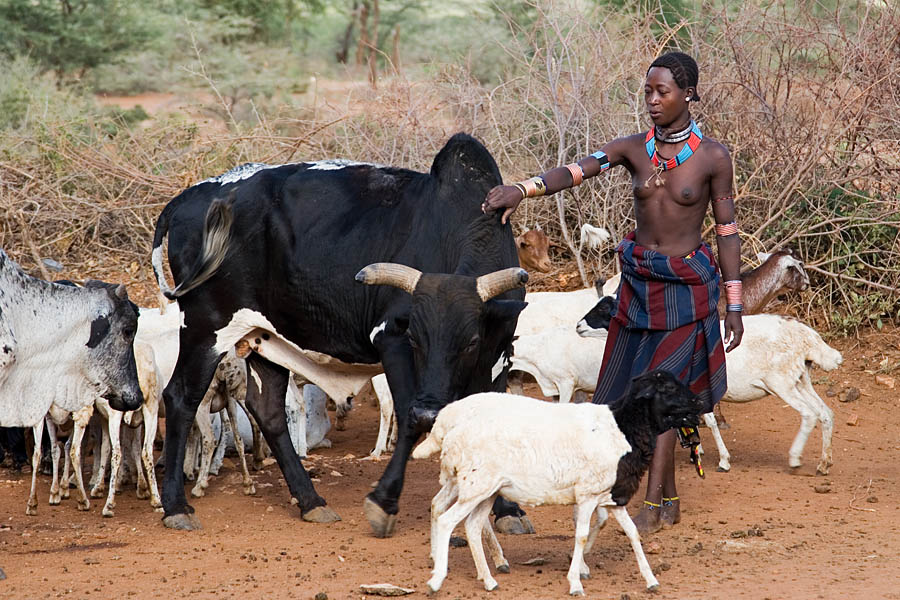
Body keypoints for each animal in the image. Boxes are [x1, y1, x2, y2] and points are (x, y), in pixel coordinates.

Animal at [151, 133, 530, 536]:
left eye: (471, 342)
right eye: (415, 338)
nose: (431, 409)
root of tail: (187, 198)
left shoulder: (499, 355)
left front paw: (508, 510)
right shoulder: (391, 340)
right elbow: (408, 421)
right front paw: (383, 502)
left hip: (263, 338)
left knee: (268, 411)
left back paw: (311, 501)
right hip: (205, 328)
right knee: (181, 398)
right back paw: (176, 506)